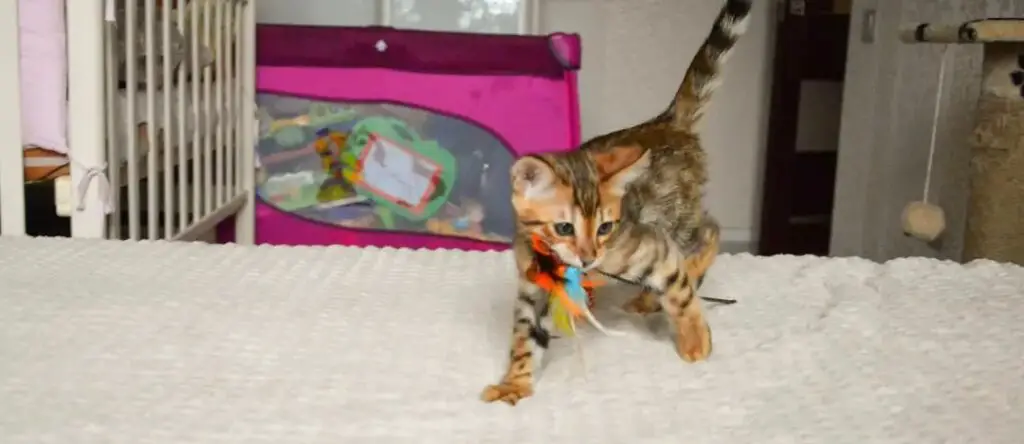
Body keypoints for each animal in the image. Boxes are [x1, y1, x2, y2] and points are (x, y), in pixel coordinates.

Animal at [479, 0, 753, 405]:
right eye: (564, 228)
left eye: (606, 227)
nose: (589, 257)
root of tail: (668, 121)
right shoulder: (533, 287)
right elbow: (525, 339)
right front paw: (515, 382)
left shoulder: (649, 246)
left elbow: (681, 292)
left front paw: (695, 340)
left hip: (675, 221)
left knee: (706, 236)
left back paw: (661, 293)